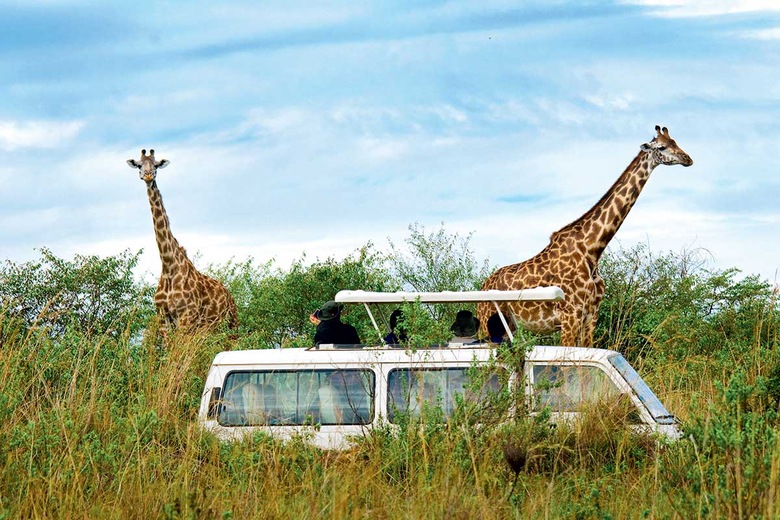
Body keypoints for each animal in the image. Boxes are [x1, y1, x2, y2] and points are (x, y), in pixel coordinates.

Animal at [125, 148, 238, 334]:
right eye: (139, 165)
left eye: (156, 165)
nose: (148, 176)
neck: (168, 265)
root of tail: (230, 297)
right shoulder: (163, 318)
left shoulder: (187, 317)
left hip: (231, 325)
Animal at [478, 125, 692, 346]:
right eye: (662, 147)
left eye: (675, 142)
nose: (688, 159)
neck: (592, 249)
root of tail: (483, 285)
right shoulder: (570, 315)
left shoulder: (591, 315)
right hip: (487, 323)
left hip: (508, 326)